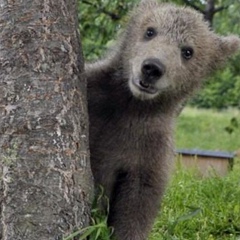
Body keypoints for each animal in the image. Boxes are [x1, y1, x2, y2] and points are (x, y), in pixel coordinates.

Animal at [85, 0, 240, 239]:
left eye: (187, 51)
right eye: (150, 31)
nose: (152, 67)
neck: (132, 104)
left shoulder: (149, 149)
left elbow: (137, 206)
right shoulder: (97, 102)